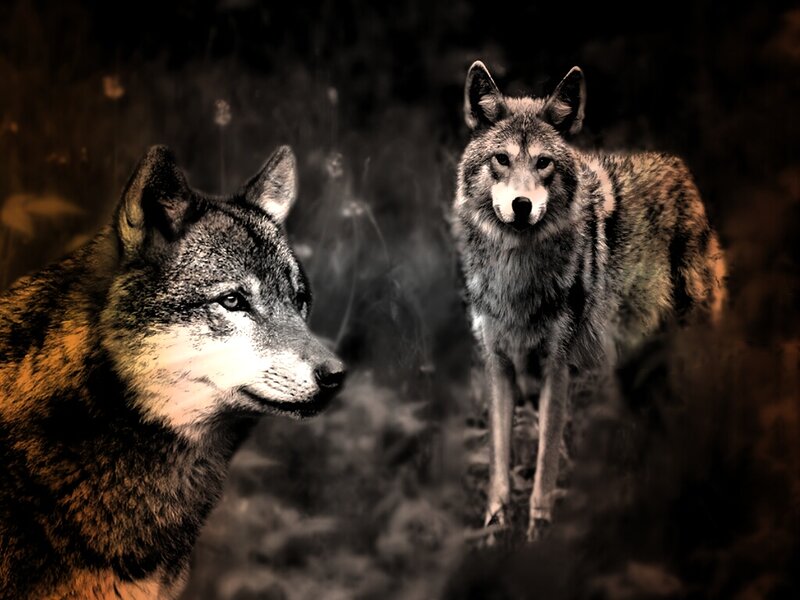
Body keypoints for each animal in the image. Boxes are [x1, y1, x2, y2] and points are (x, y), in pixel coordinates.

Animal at [452, 61, 726, 541]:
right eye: (501, 159)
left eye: (543, 163)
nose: (521, 206)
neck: (516, 276)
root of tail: (681, 169)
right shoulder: (499, 365)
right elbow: (500, 462)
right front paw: (494, 529)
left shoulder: (557, 368)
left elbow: (545, 459)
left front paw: (538, 533)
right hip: (635, 373)